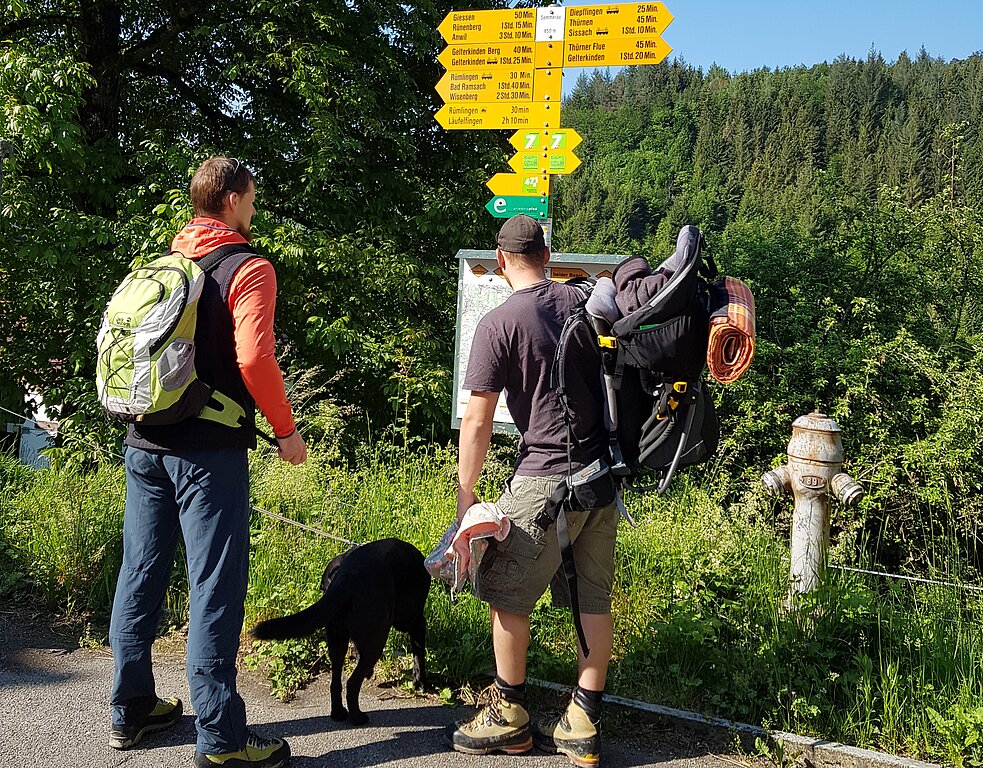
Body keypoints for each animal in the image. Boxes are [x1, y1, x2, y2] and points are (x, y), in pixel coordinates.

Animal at [252, 536, 428, 724]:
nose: (324, 589)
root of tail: (347, 577)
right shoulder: (417, 622)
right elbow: (419, 655)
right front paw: (420, 683)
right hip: (376, 640)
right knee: (352, 683)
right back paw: (357, 716)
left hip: (336, 642)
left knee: (335, 682)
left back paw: (338, 712)